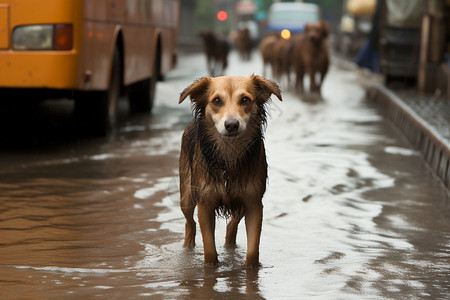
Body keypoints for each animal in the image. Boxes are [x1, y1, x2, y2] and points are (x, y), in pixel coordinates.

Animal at [178, 75, 282, 268]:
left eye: (245, 100)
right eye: (217, 101)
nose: (232, 125)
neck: (229, 158)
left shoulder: (254, 202)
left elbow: (252, 251)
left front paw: (251, 269)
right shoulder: (205, 203)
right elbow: (210, 250)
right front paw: (211, 268)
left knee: (231, 225)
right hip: (186, 195)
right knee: (190, 223)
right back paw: (188, 248)